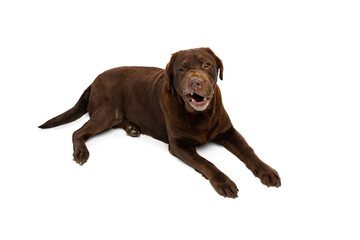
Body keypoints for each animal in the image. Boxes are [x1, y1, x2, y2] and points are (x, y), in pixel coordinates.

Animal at [40, 47, 282, 198]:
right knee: (78, 132)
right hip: (108, 111)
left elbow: (249, 151)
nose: (196, 82)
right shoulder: (179, 146)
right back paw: (81, 151)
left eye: (207, 65)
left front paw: (267, 171)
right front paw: (224, 182)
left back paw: (132, 128)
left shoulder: (228, 132)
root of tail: (93, 80)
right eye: (182, 69)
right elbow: (207, 163)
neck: (199, 116)